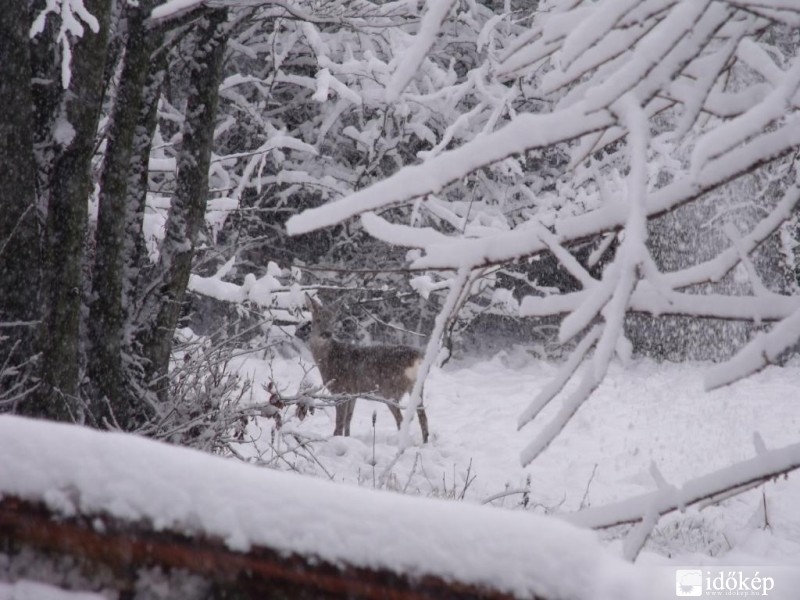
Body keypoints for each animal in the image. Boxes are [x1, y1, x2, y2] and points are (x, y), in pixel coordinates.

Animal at [304, 296, 428, 440]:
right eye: (318, 319)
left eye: (333, 321)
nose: (327, 334)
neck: (329, 359)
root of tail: (417, 358)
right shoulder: (352, 394)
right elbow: (348, 420)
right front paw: (347, 439)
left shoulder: (340, 390)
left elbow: (339, 423)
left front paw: (336, 440)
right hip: (417, 387)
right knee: (423, 417)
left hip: (391, 390)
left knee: (401, 420)